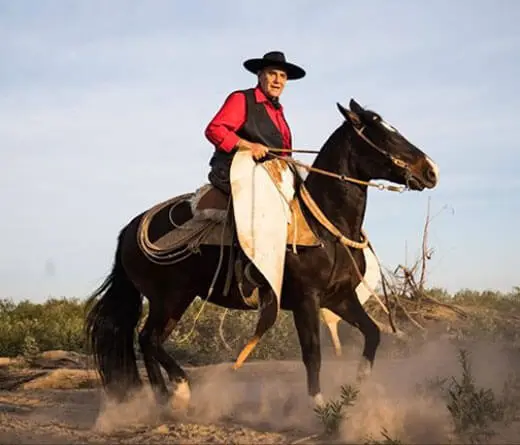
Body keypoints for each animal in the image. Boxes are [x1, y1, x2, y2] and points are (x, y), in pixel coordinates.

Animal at [85, 98, 438, 412]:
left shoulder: (339, 298)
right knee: (149, 339)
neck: (323, 223)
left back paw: (166, 399)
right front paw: (318, 405)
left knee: (149, 340)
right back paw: (179, 392)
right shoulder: (307, 300)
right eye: (383, 135)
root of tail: (130, 228)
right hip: (170, 297)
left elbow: (373, 333)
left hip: (173, 300)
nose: (430, 170)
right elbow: (312, 352)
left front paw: (360, 384)